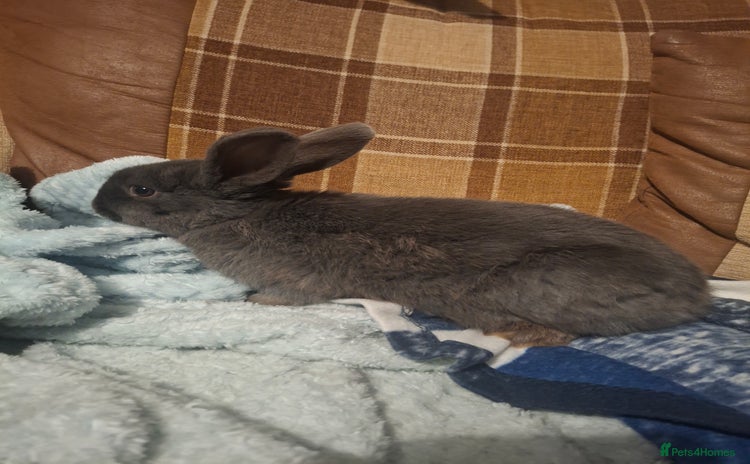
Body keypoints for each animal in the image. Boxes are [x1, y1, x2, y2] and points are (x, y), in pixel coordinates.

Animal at [92, 122, 711, 345]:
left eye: (143, 190)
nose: (97, 202)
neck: (235, 214)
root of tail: (695, 295)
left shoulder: (298, 282)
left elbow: (284, 295)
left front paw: (254, 302)